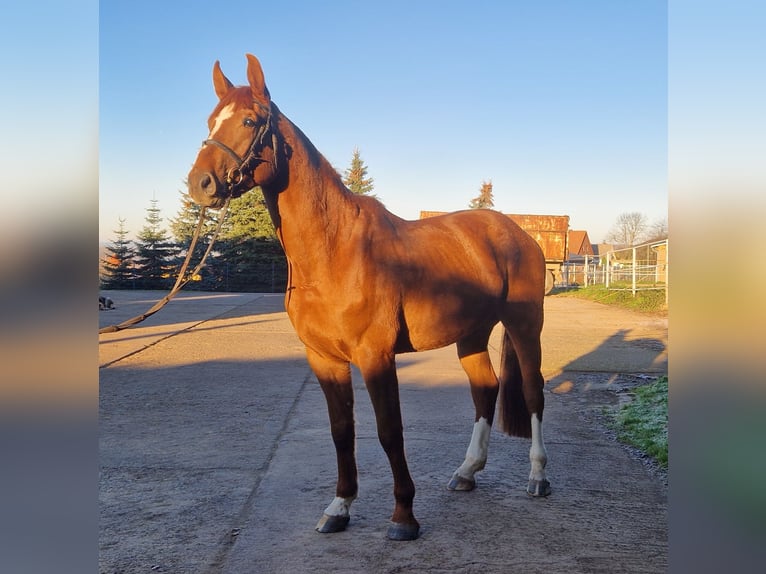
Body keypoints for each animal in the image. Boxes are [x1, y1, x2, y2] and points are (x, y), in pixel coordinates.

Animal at [190, 53, 552, 540]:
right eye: (211, 120)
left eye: (249, 120)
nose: (200, 183)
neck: (334, 251)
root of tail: (517, 232)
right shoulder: (324, 359)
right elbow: (342, 431)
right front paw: (339, 507)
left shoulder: (376, 356)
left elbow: (388, 431)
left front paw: (404, 516)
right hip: (472, 334)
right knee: (485, 390)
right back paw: (466, 472)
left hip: (524, 326)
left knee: (533, 392)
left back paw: (538, 477)